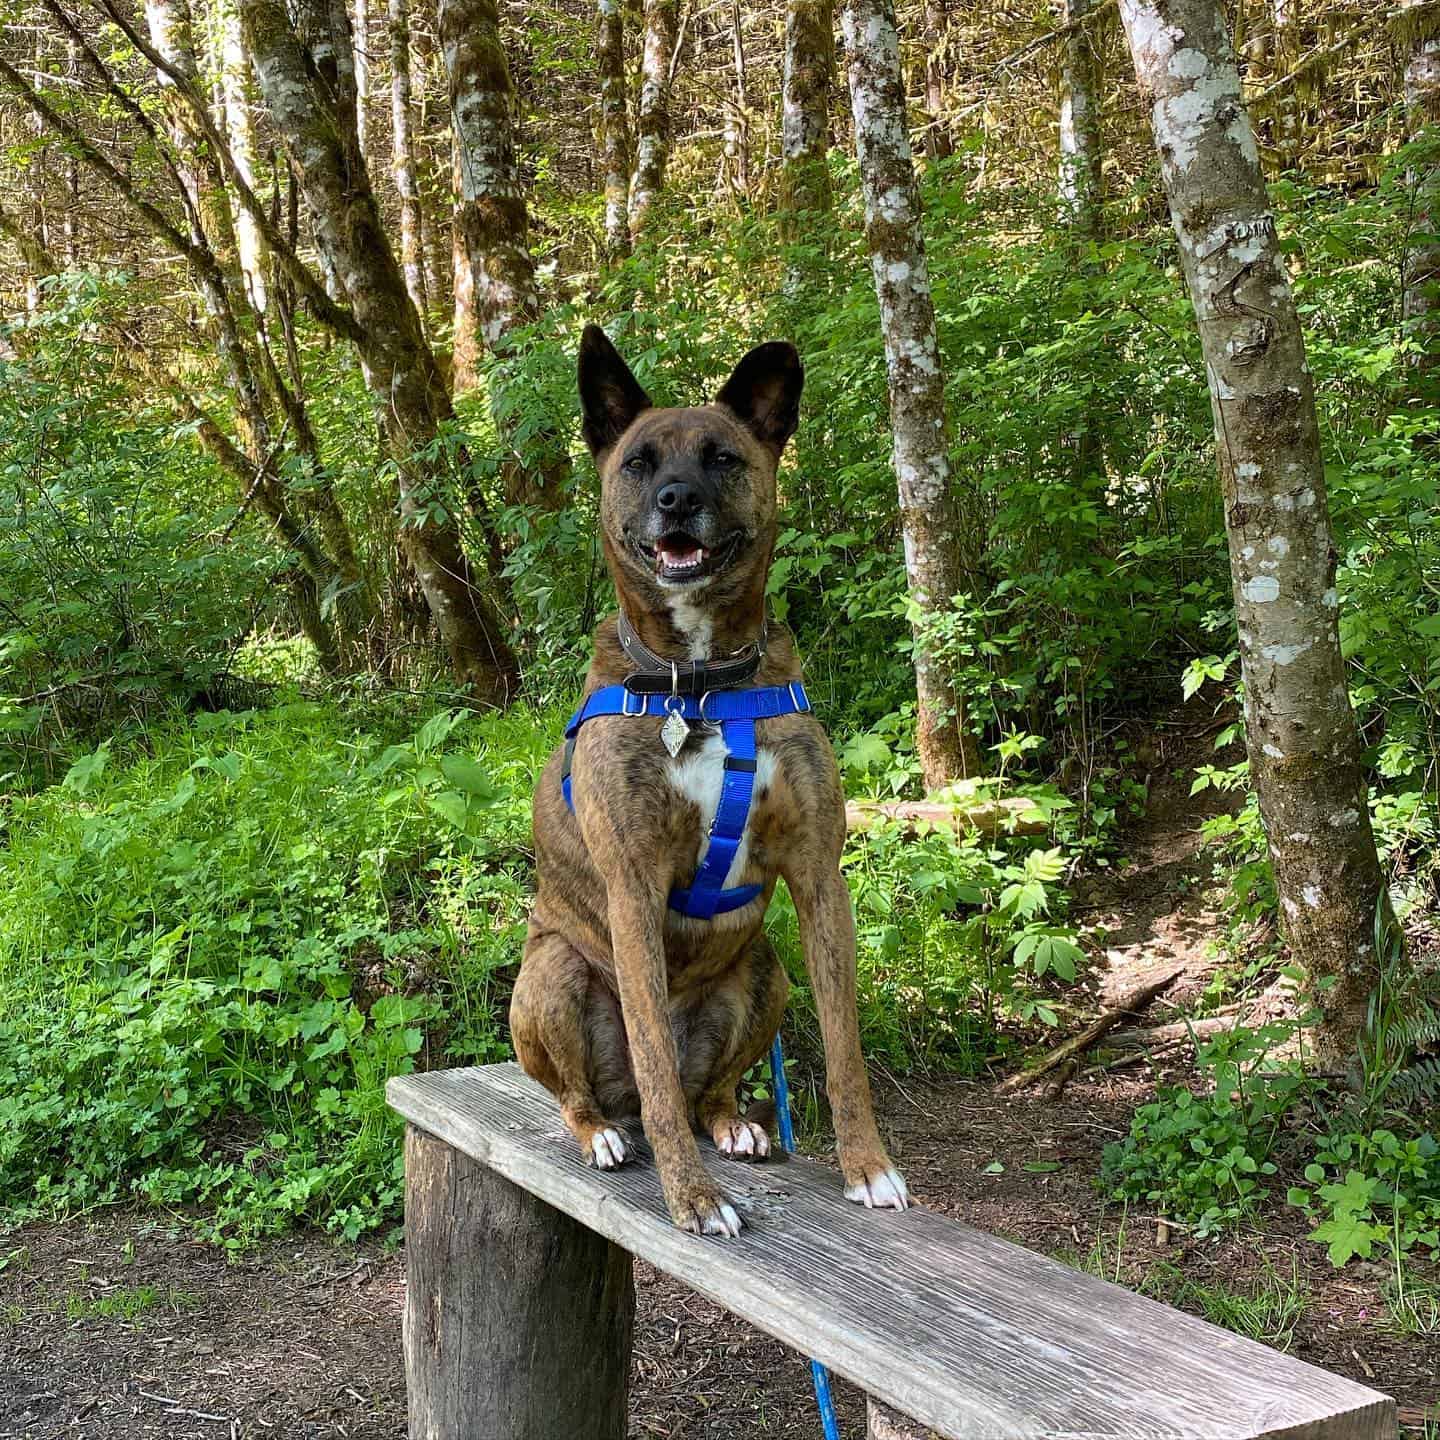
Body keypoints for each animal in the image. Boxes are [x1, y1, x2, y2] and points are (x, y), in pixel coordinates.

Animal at [512, 326, 904, 1238]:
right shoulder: (633, 887)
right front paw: (690, 1198)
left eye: (723, 456)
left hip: (765, 973)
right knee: (608, 1094)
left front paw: (867, 1167)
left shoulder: (819, 876)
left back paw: (733, 1122)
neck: (698, 681)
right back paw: (603, 1133)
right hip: (551, 975)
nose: (677, 500)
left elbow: (845, 1048)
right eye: (638, 461)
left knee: (704, 1088)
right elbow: (653, 1056)